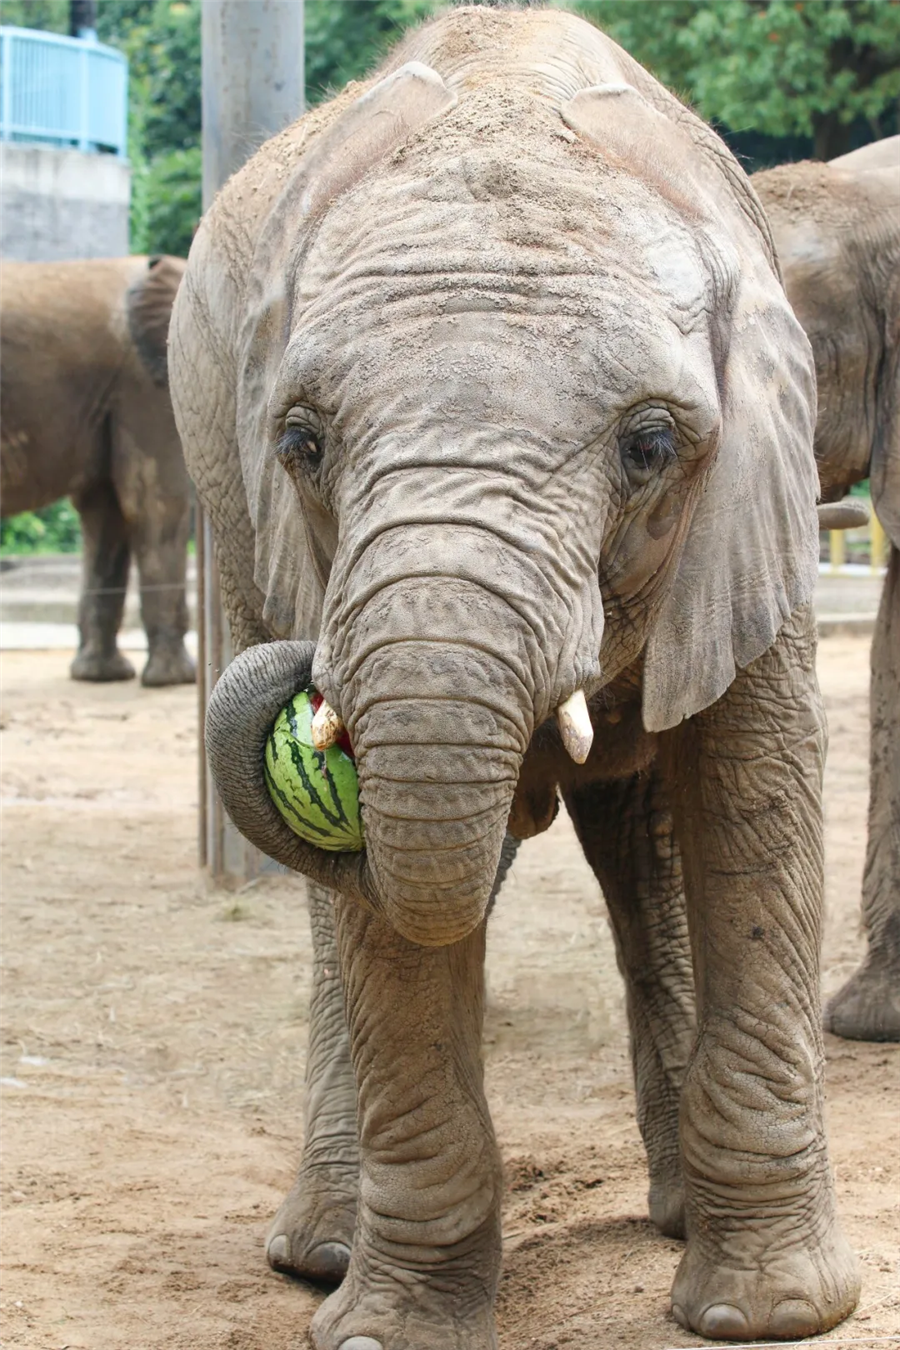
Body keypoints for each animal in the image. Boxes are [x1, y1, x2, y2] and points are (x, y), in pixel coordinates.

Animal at [172, 5, 863, 1344]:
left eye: (649, 444)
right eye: (302, 443)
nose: (298, 677)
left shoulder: (758, 499)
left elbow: (755, 801)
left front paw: (770, 1316)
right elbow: (388, 929)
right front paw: (387, 1330)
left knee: (643, 838)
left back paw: (677, 1220)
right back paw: (324, 1253)